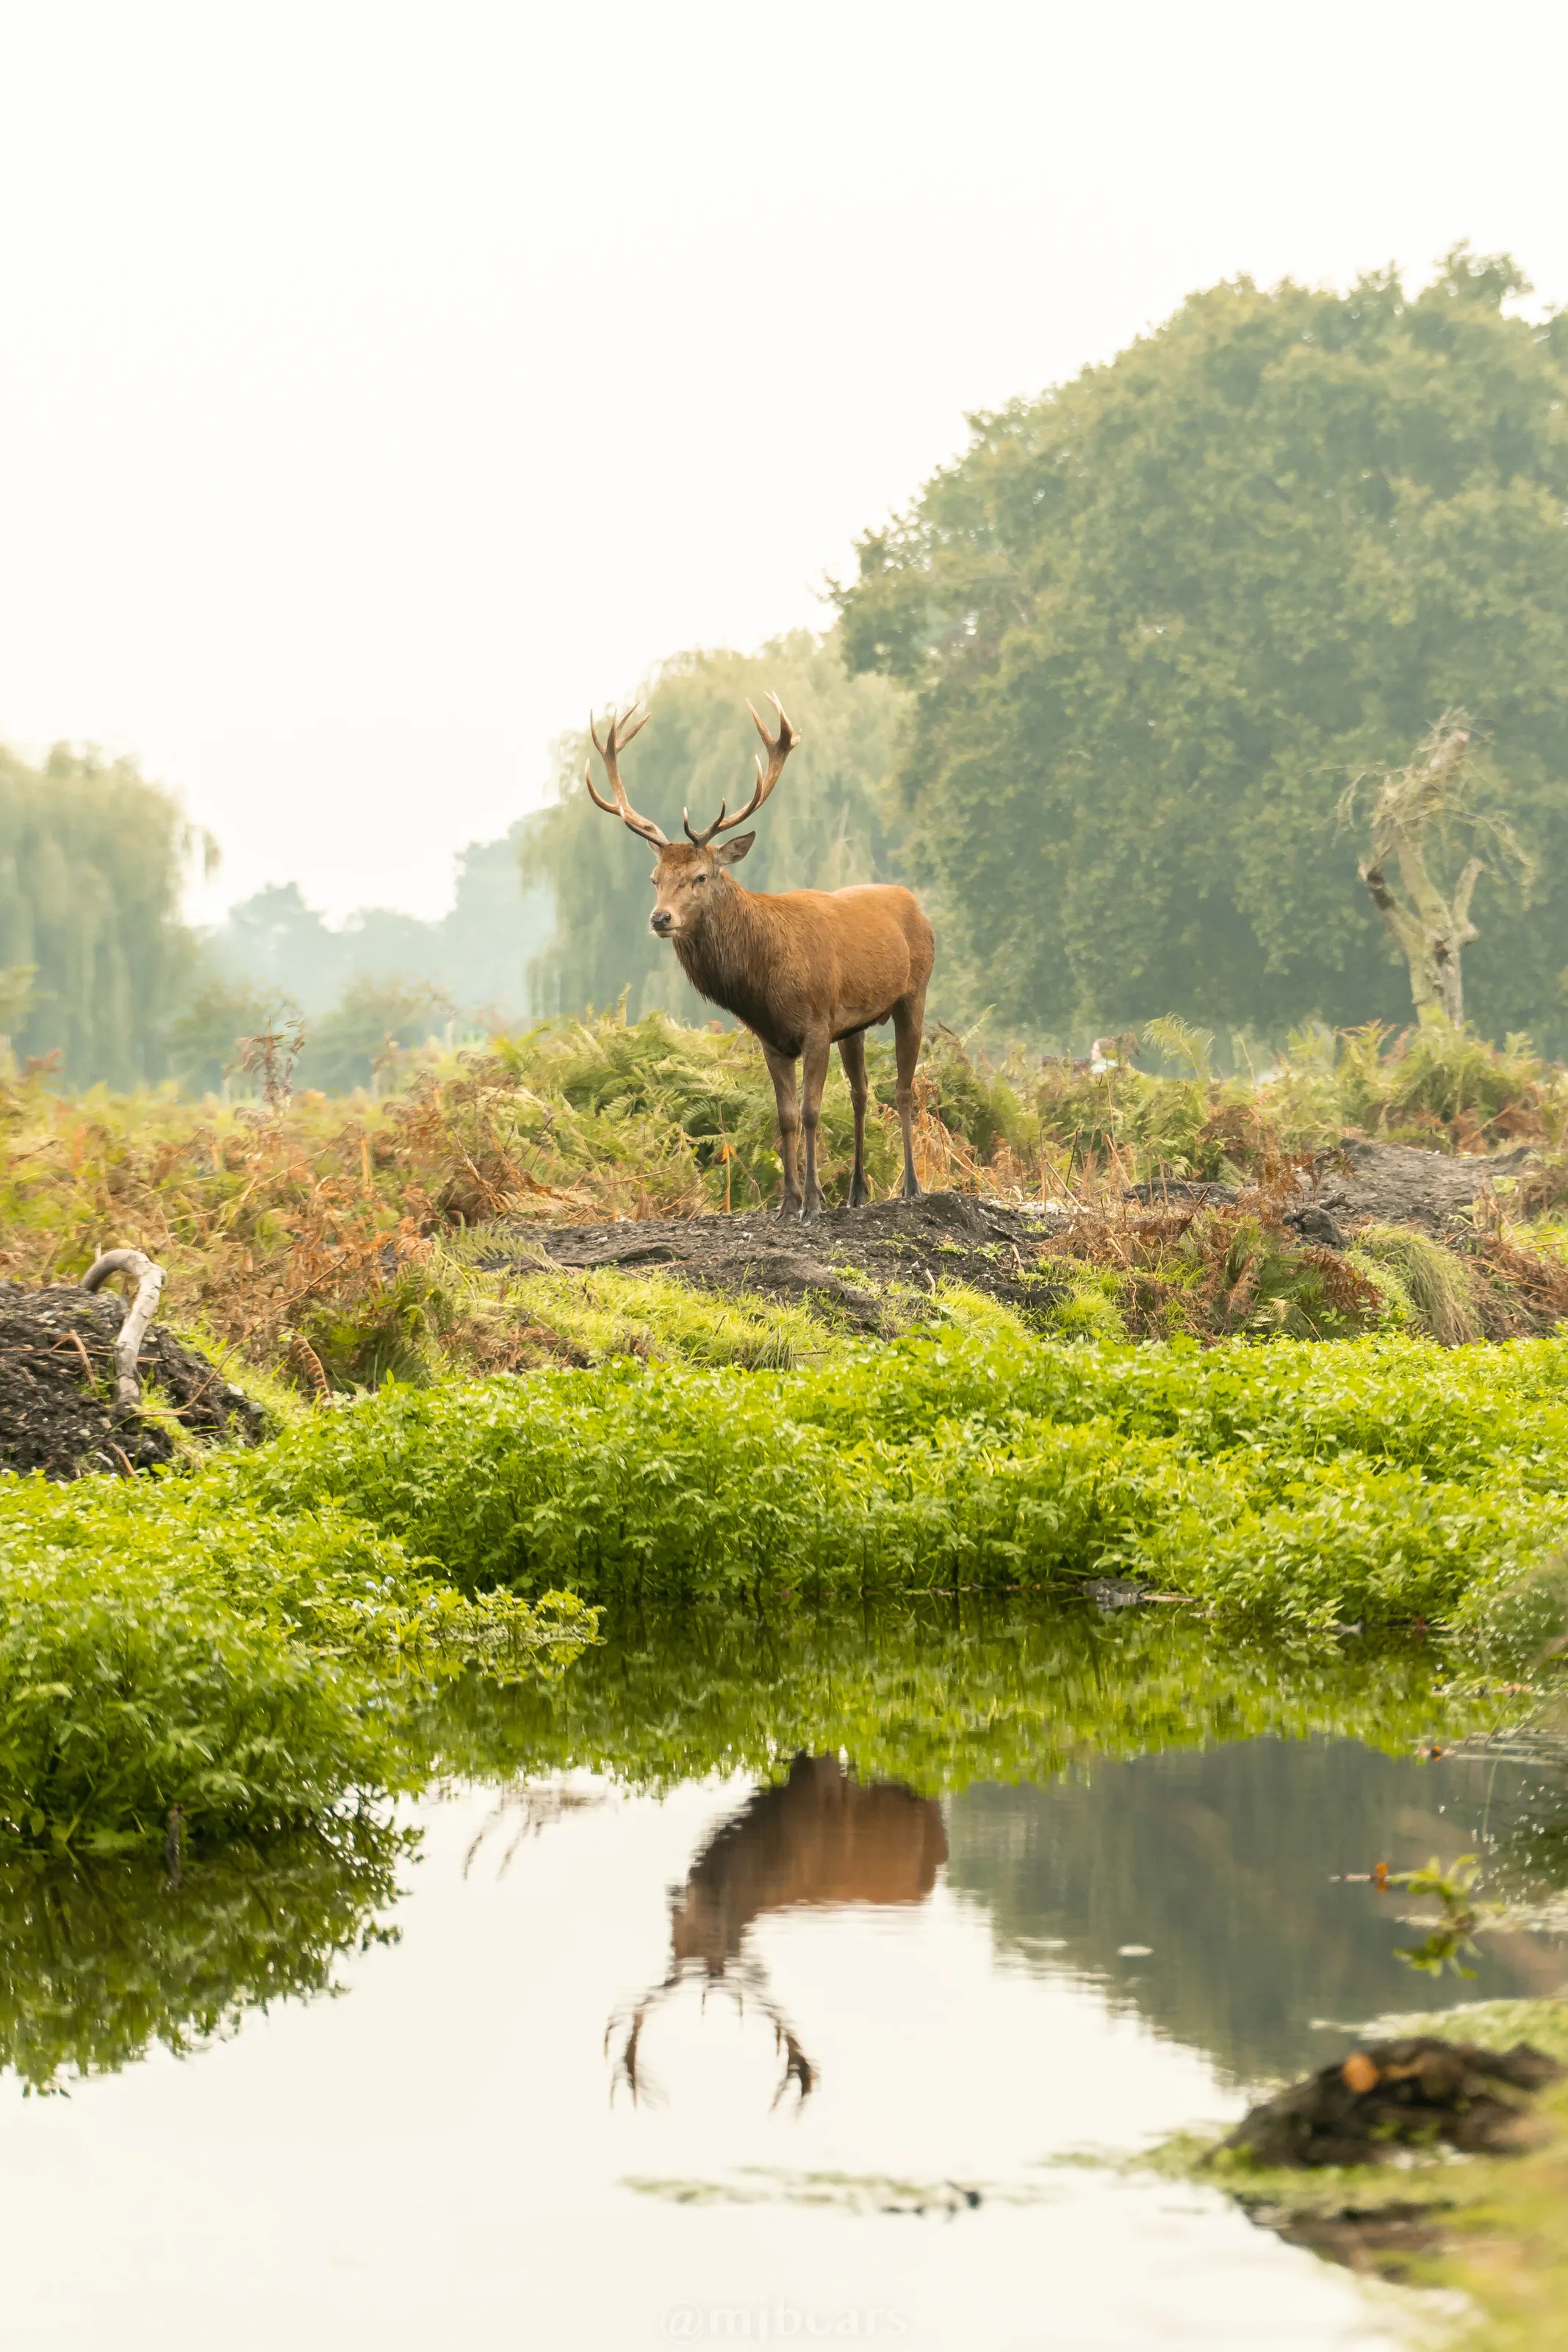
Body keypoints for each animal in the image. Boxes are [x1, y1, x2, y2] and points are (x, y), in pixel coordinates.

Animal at [584, 697, 935, 1221]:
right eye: (654, 877)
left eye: (701, 876)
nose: (660, 918)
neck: (765, 983)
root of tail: (914, 902)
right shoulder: (772, 1039)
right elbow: (785, 1117)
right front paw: (787, 1203)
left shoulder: (815, 1024)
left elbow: (810, 1112)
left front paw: (812, 1203)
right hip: (853, 1025)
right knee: (861, 1092)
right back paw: (856, 1193)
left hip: (915, 992)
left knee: (904, 1089)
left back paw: (911, 1185)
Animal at [606, 1752, 948, 2109]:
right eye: (681, 1937)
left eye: (714, 1929)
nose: (683, 1891)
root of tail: (936, 1873)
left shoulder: (821, 1780)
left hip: (926, 1801)